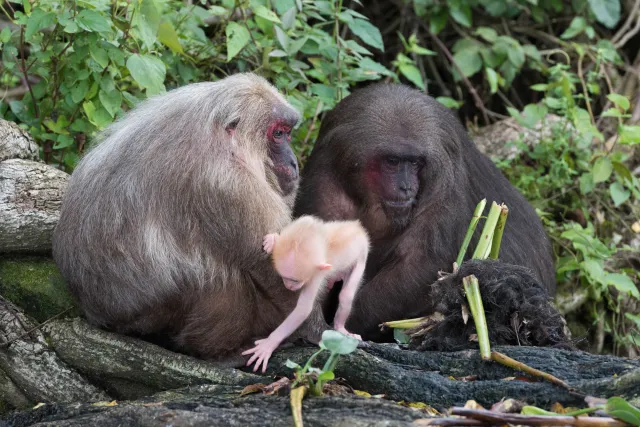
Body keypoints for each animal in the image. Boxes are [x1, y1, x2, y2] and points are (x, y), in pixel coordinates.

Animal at [241, 216, 370, 372]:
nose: (288, 285)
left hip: (362, 256)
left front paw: (268, 344)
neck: (325, 246)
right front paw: (273, 239)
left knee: (346, 296)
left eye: (294, 280)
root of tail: (357, 227)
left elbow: (303, 310)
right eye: (283, 277)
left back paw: (340, 328)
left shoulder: (316, 276)